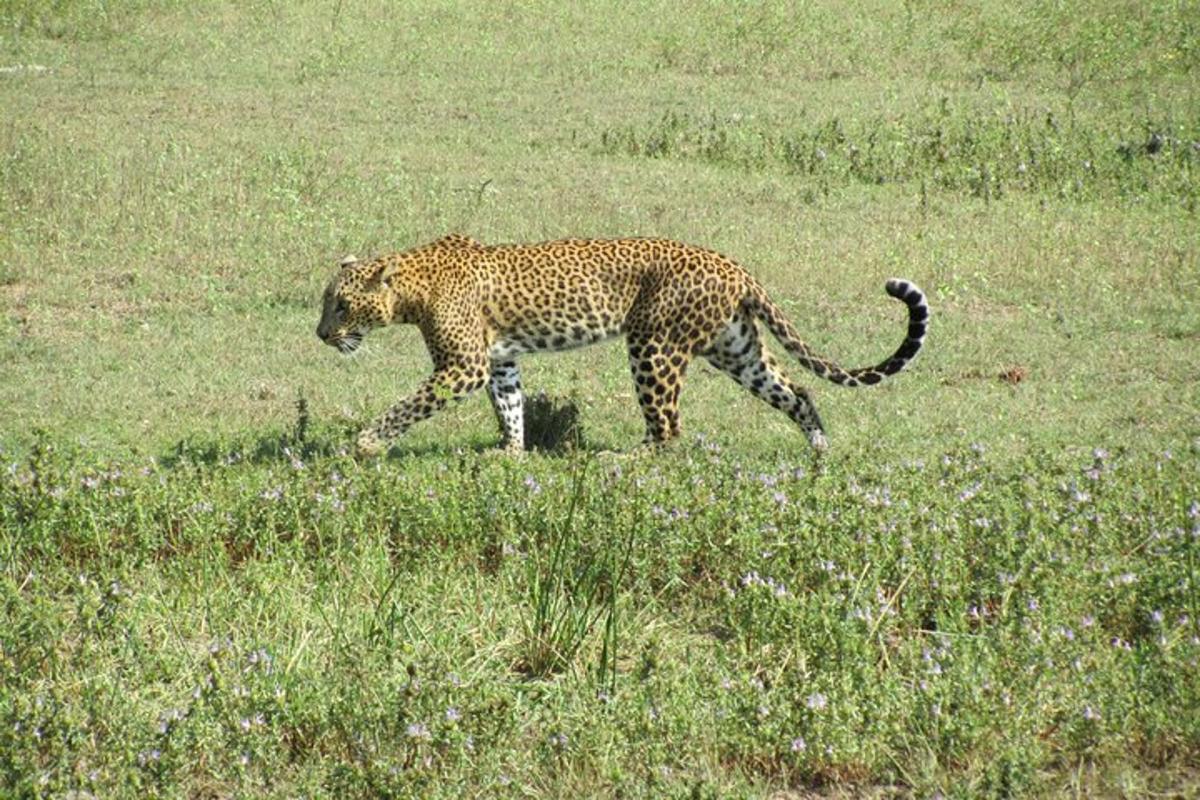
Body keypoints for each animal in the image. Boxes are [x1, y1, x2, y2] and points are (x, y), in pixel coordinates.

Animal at [316, 232, 926, 455]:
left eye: (341, 305)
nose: (321, 334)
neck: (413, 288)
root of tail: (735, 266)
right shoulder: (500, 361)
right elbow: (510, 408)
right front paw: (511, 454)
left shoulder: (462, 366)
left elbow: (407, 406)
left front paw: (366, 443)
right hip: (735, 348)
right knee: (798, 390)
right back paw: (819, 451)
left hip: (654, 346)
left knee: (668, 429)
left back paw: (623, 461)